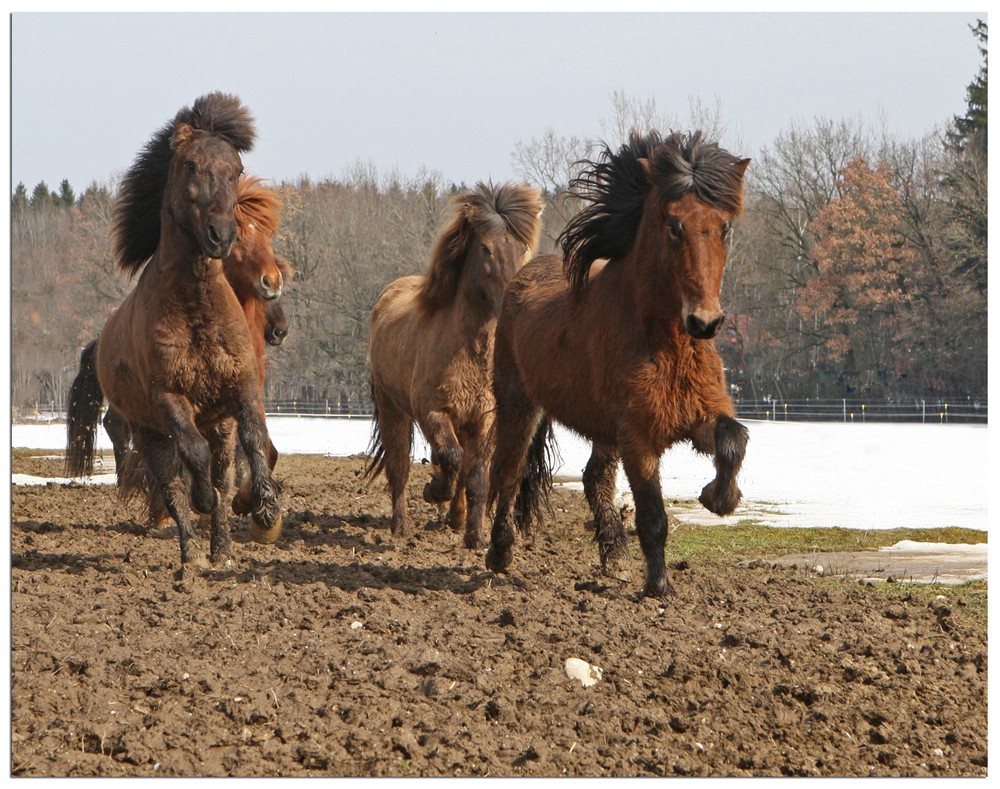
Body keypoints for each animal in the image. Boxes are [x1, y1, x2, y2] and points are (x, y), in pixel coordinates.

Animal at [62, 92, 282, 568]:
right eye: (191, 165)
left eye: (236, 169)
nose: (220, 234)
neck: (197, 306)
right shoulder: (169, 400)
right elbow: (192, 460)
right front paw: (205, 503)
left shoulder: (242, 388)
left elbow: (256, 440)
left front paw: (267, 510)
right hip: (149, 431)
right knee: (171, 482)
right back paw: (192, 552)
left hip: (213, 424)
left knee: (220, 470)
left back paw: (222, 550)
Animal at [364, 182, 544, 548]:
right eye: (486, 248)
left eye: (524, 249)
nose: (513, 300)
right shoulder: (433, 412)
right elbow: (450, 458)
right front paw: (434, 490)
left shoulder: (482, 420)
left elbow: (475, 477)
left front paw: (475, 537)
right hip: (394, 409)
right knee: (399, 465)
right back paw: (401, 525)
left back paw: (456, 518)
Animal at [484, 131, 752, 596]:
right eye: (674, 226)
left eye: (724, 226)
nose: (705, 321)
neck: (665, 344)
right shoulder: (639, 439)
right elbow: (653, 516)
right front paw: (658, 586)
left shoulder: (698, 416)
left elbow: (734, 439)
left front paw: (718, 498)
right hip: (519, 405)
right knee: (508, 472)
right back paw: (499, 554)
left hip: (601, 427)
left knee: (594, 478)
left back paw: (612, 556)